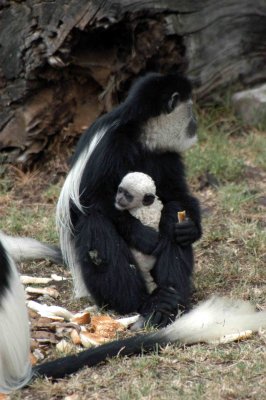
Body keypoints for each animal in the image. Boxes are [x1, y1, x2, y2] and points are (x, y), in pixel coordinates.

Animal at [57, 72, 201, 328]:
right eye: (191, 108)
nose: (195, 124)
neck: (141, 138)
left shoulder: (167, 156)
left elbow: (177, 195)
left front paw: (190, 228)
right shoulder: (110, 147)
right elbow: (92, 201)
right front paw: (143, 235)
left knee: (173, 215)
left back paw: (170, 300)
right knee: (95, 227)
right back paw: (146, 304)